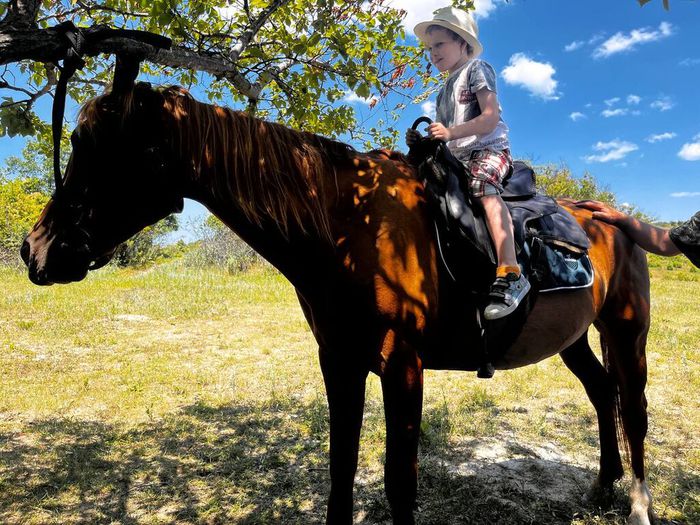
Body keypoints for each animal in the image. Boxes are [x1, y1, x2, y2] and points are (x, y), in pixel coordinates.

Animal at [21, 71, 656, 520]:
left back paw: (633, 502)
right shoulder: (340, 361)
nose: (34, 249)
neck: (346, 226)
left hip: (627, 334)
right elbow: (341, 470)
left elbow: (399, 485)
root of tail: (614, 219)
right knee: (602, 395)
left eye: (92, 145)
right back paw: (602, 487)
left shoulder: (402, 366)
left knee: (633, 411)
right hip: (574, 338)